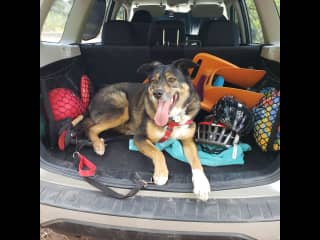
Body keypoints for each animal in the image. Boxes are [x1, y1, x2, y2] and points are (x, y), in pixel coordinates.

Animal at [84, 59, 211, 201]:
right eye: (154, 80)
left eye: (172, 79)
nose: (157, 93)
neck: (171, 120)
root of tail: (93, 99)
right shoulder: (140, 137)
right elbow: (157, 152)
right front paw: (161, 174)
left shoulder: (188, 140)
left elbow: (196, 161)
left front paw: (202, 184)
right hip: (122, 108)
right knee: (92, 128)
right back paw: (98, 145)